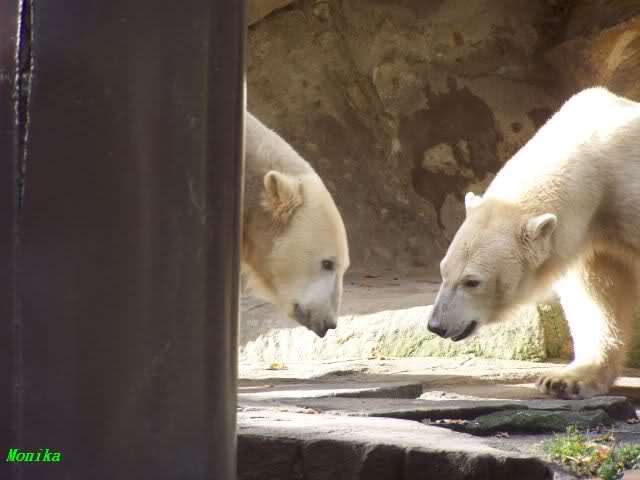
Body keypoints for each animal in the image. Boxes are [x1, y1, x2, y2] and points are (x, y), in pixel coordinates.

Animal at [428, 87, 640, 399]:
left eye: (472, 281)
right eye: (443, 271)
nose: (436, 326)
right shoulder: (593, 233)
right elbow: (599, 293)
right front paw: (567, 379)